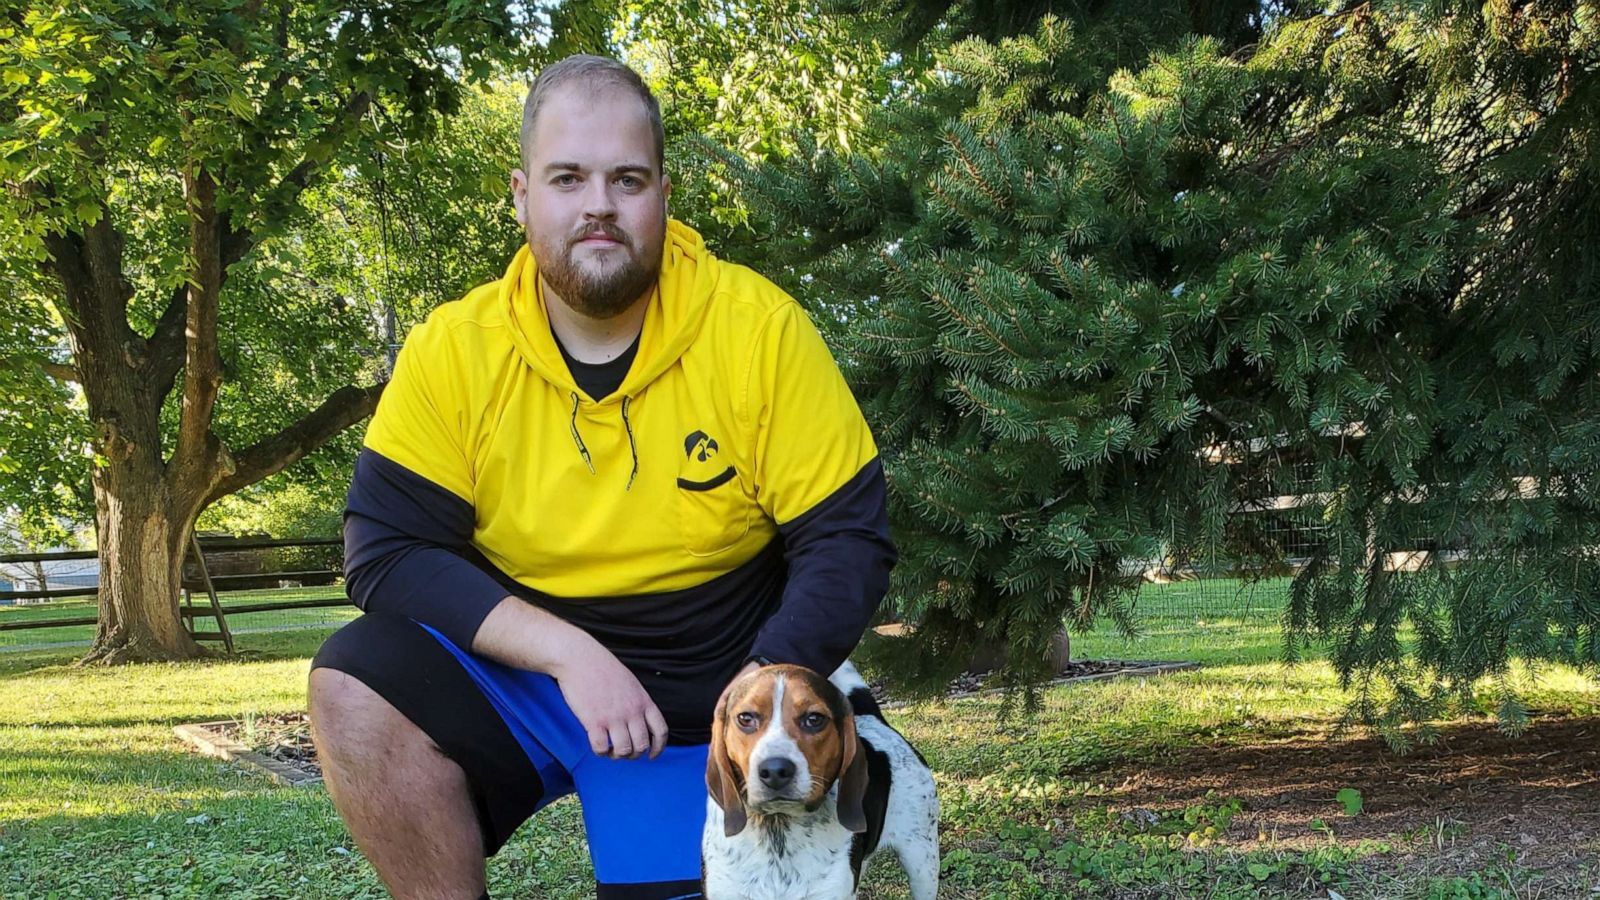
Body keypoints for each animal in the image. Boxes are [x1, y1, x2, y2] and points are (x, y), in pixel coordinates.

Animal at [700, 659, 934, 896]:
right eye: (745, 718)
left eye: (814, 719)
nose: (775, 771)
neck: (778, 831)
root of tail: (875, 719)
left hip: (922, 862)